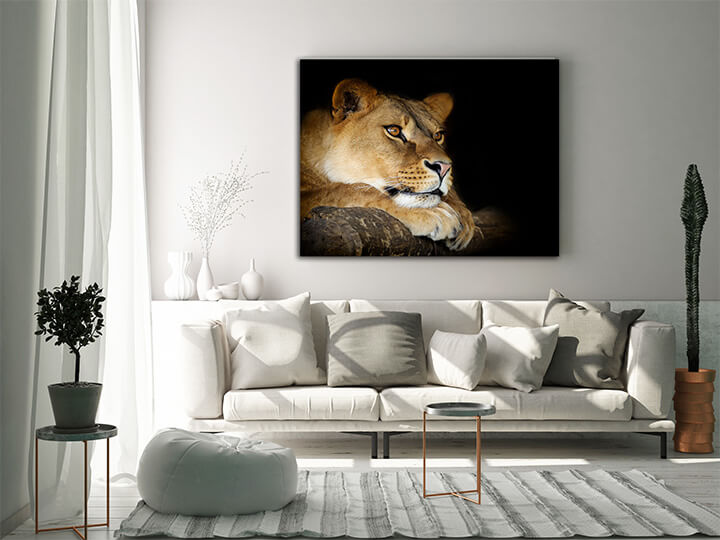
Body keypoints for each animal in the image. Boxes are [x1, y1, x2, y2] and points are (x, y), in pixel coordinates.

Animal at [300, 78, 476, 251]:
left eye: (438, 136)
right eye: (394, 131)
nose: (445, 168)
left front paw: (462, 213)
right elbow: (347, 190)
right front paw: (434, 212)